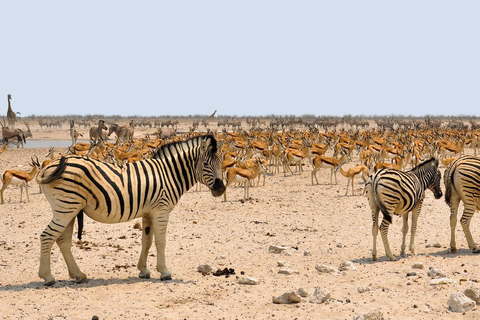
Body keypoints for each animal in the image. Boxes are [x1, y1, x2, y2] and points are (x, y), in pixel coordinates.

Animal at [35, 134, 227, 286]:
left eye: (221, 164)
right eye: (206, 165)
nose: (221, 189)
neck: (169, 174)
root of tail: (48, 166)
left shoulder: (148, 213)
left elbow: (146, 241)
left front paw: (143, 270)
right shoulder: (161, 210)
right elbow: (160, 242)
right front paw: (164, 272)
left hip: (70, 209)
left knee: (63, 241)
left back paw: (79, 275)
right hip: (66, 207)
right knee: (47, 236)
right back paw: (47, 277)